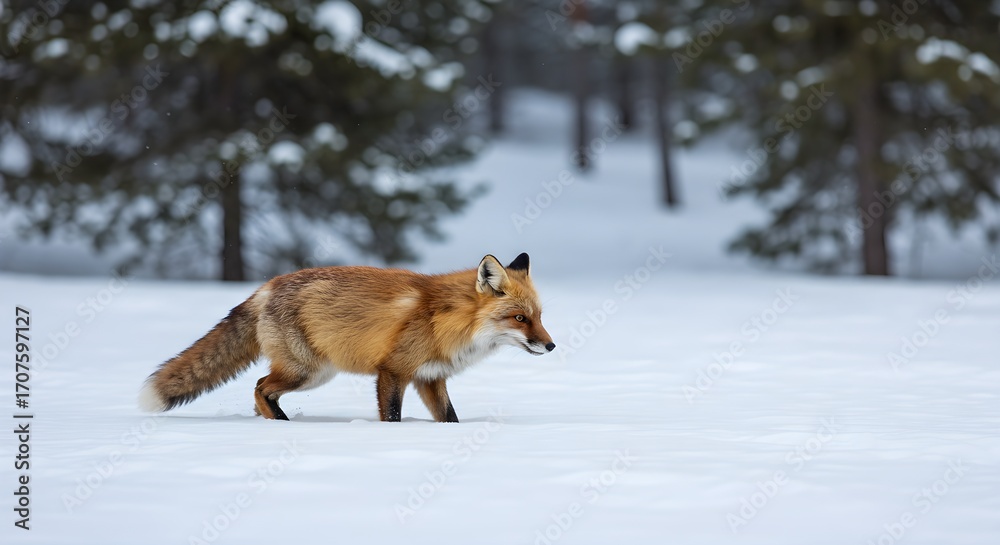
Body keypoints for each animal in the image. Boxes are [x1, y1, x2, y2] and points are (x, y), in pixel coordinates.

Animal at [139, 253, 555, 422]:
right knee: (259, 386)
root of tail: (266, 286)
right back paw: (278, 424)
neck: (446, 321)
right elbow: (392, 417)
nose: (551, 346)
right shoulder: (392, 372)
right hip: (308, 372)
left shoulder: (431, 377)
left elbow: (449, 419)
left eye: (538, 317)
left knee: (260, 389)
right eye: (519, 318)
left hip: (310, 373)